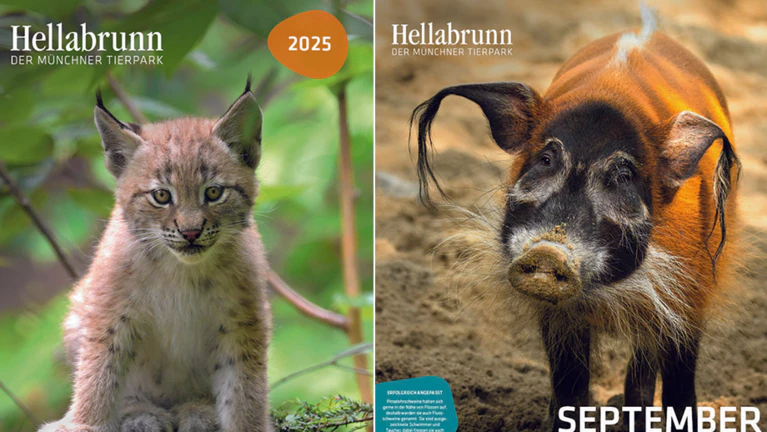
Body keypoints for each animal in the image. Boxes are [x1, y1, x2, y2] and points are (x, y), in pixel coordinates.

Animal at [411, 5, 740, 432]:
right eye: (545, 159)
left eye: (623, 176)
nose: (549, 251)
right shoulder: (559, 315)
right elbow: (570, 385)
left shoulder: (689, 296)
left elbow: (679, 382)